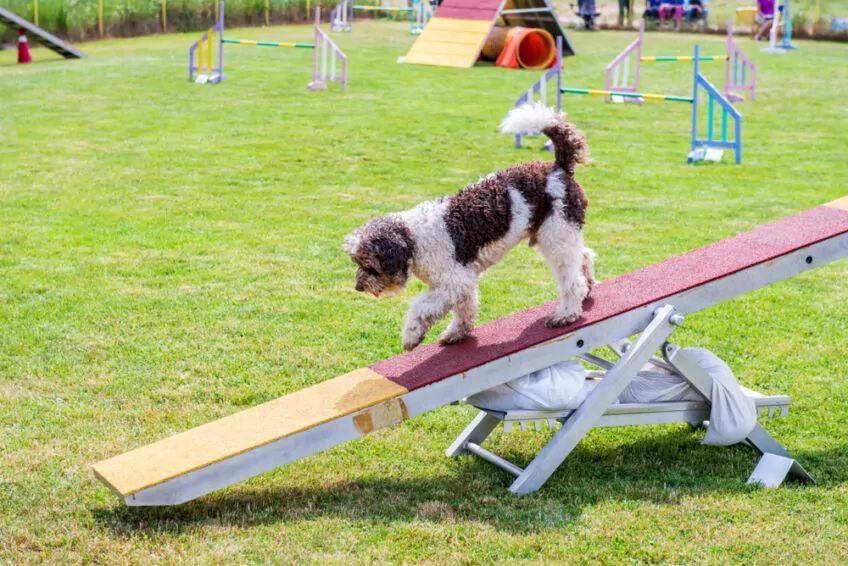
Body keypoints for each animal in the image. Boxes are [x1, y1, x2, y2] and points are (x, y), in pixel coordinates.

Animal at [342, 102, 592, 350]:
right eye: (357, 262)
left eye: (369, 265)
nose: (358, 287)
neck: (413, 239)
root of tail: (558, 168)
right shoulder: (462, 283)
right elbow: (465, 310)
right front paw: (456, 334)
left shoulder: (454, 282)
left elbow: (420, 306)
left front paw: (412, 335)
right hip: (557, 235)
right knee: (584, 257)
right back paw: (589, 289)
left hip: (556, 237)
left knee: (572, 282)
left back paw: (566, 314)